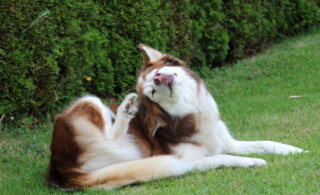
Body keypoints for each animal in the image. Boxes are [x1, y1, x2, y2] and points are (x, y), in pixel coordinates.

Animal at [46, 44, 304, 190]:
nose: (159, 79)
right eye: (152, 92)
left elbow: (264, 142)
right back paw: (126, 109)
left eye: (157, 73)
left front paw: (293, 149)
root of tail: (58, 170)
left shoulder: (226, 141)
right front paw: (251, 162)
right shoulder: (192, 159)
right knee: (111, 134)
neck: (190, 112)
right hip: (91, 102)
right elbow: (225, 157)